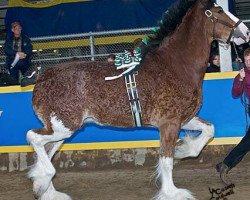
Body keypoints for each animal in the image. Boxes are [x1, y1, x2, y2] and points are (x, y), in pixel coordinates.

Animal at [26, 0, 249, 200]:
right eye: (219, 11)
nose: (246, 32)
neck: (175, 65)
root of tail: (42, 79)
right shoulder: (169, 123)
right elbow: (166, 160)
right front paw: (172, 193)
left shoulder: (182, 119)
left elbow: (208, 130)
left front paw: (183, 150)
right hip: (63, 127)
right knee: (34, 137)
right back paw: (43, 182)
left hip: (61, 130)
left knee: (47, 150)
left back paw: (47, 191)